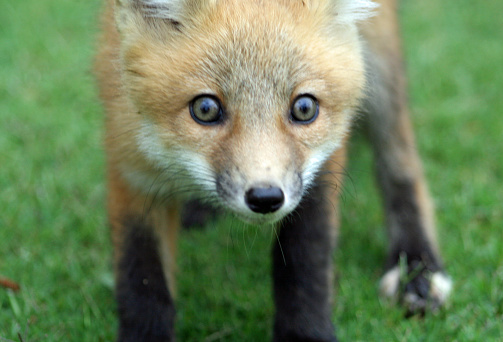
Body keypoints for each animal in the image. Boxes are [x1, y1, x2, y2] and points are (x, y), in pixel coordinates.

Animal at [94, 0, 452, 342]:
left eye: (304, 108)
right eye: (205, 109)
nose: (265, 198)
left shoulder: (320, 169)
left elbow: (305, 257)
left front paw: (305, 333)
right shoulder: (131, 165)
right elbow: (141, 278)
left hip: (380, 63)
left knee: (401, 163)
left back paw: (417, 269)